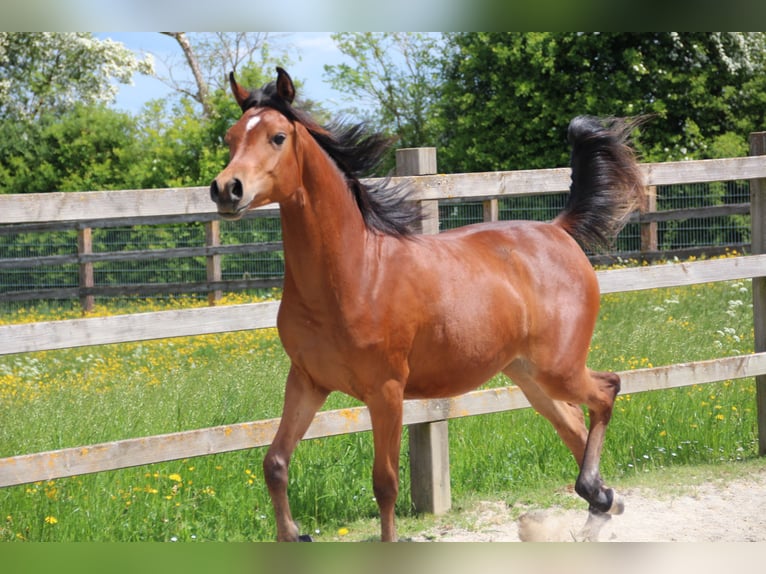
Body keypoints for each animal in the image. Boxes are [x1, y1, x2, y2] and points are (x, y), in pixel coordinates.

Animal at [210, 67, 646, 542]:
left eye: (277, 137)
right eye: (231, 138)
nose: (226, 189)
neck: (355, 273)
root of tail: (558, 230)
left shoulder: (386, 391)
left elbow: (384, 483)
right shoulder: (307, 381)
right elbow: (274, 463)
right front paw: (294, 534)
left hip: (558, 367)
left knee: (607, 390)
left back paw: (596, 495)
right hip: (529, 375)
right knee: (574, 422)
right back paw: (603, 502)